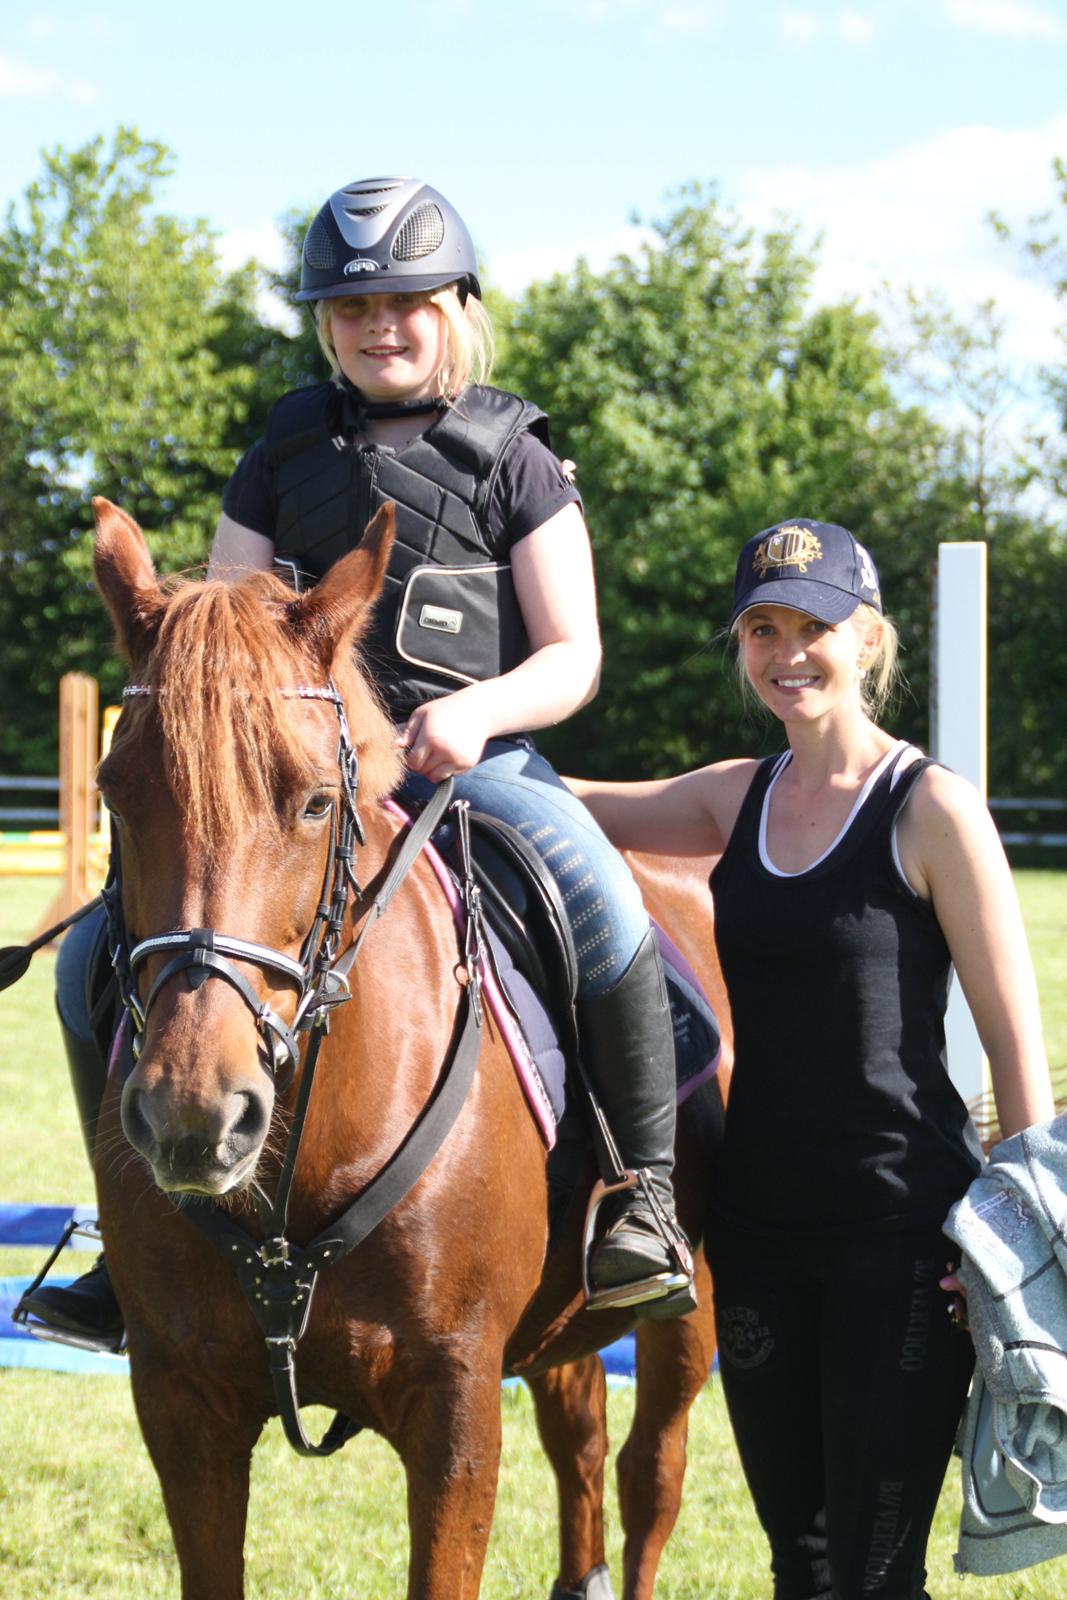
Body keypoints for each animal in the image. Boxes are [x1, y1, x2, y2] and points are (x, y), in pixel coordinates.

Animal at [87, 499, 729, 1600]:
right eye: (116, 794)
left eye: (313, 800)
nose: (194, 1115)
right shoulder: (181, 1406)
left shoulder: (454, 1409)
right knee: (580, 1438)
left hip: (693, 1297)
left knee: (652, 1471)